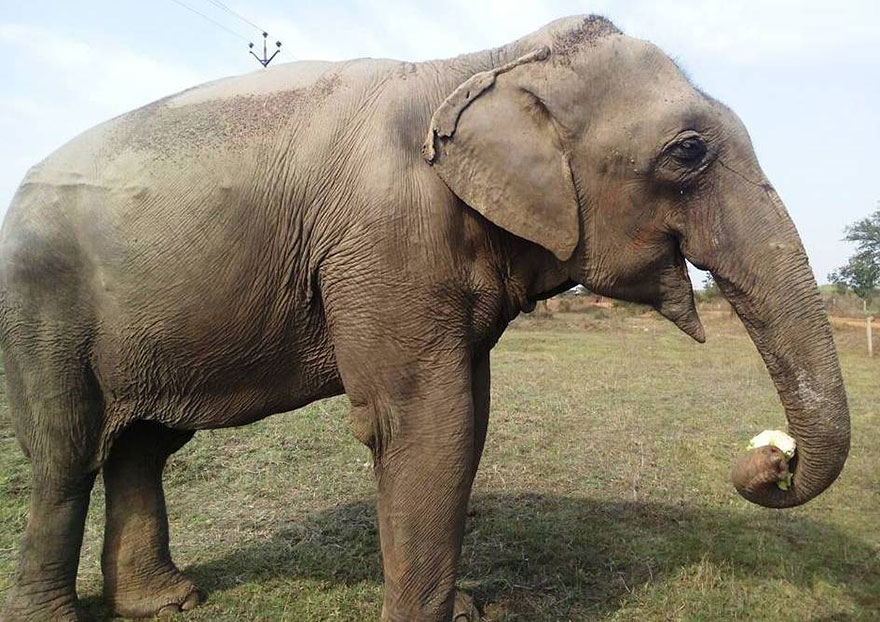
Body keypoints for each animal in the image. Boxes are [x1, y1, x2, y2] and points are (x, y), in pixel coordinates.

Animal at [0, 14, 850, 622]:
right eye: (688, 152)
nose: (772, 457)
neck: (486, 61)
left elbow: (469, 418)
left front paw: (465, 608)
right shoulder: (385, 241)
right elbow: (424, 422)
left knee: (143, 446)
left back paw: (169, 603)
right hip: (41, 304)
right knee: (68, 452)